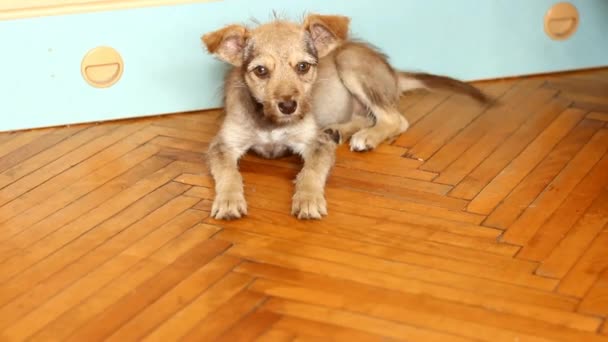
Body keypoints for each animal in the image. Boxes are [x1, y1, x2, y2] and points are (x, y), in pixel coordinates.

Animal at [202, 13, 486, 220]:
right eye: (260, 71)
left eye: (303, 66)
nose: (288, 106)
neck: (271, 123)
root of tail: (392, 72)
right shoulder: (223, 145)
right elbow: (229, 173)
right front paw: (228, 200)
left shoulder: (314, 143)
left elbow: (310, 171)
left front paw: (308, 199)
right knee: (369, 116)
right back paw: (339, 130)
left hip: (350, 63)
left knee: (395, 119)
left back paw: (366, 137)